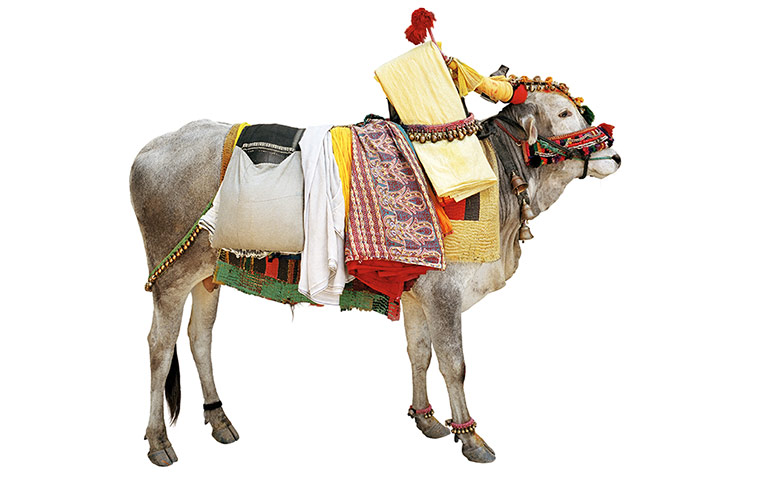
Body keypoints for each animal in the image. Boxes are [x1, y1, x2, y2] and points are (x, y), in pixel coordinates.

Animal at [129, 87, 621, 466]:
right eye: (563, 113)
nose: (613, 155)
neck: (495, 176)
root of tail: (152, 147)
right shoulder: (445, 295)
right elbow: (455, 364)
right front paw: (471, 437)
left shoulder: (419, 295)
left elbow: (419, 353)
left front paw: (425, 417)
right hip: (170, 279)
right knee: (159, 346)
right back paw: (159, 442)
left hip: (207, 275)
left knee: (199, 337)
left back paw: (219, 419)